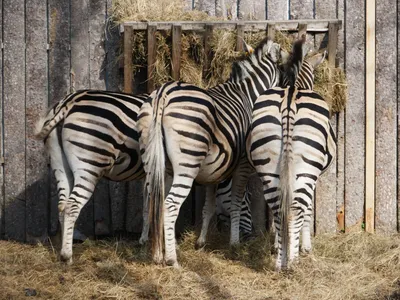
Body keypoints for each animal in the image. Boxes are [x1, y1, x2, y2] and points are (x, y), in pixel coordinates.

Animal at [138, 38, 282, 268]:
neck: (247, 94)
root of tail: (163, 93)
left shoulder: (214, 171)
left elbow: (209, 206)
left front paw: (201, 242)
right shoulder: (241, 165)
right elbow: (235, 202)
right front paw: (234, 243)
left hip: (155, 162)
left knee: (154, 202)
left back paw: (158, 254)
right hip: (187, 161)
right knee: (169, 206)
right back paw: (172, 260)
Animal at [247, 38, 338, 270]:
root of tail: (289, 101)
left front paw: (279, 246)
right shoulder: (314, 177)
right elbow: (308, 211)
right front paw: (305, 247)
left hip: (269, 165)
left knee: (279, 208)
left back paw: (280, 261)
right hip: (306, 169)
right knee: (295, 209)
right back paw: (293, 261)